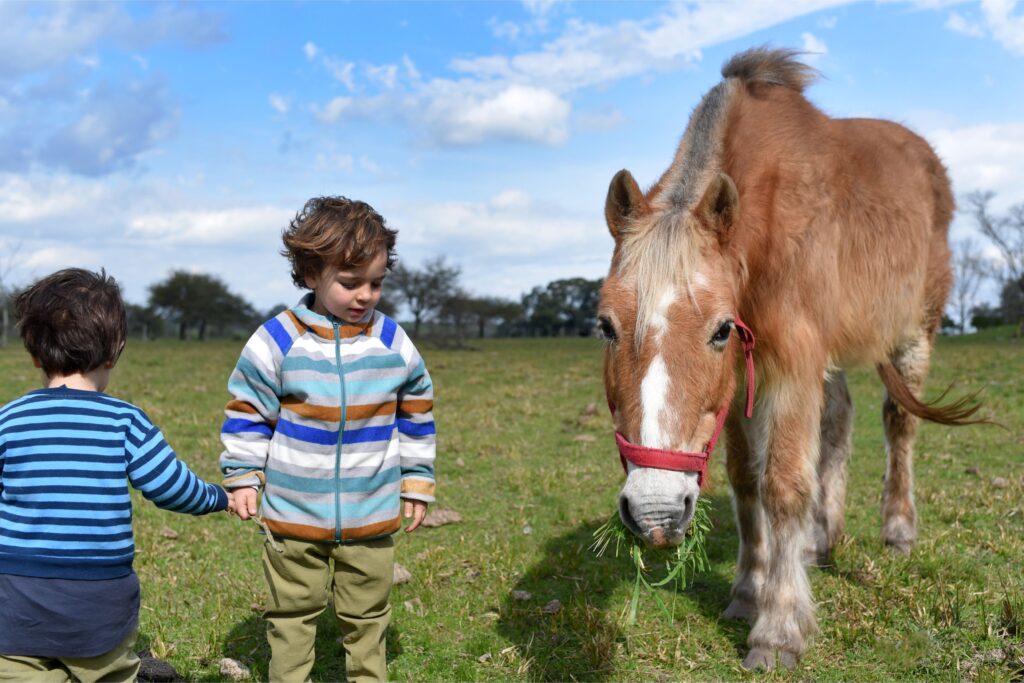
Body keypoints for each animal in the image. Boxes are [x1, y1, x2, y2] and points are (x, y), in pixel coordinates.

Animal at [598, 49, 978, 671]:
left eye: (721, 330)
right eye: (605, 325)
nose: (655, 512)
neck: (765, 223)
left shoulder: (793, 365)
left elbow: (782, 485)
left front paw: (778, 629)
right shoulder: (743, 383)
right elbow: (746, 481)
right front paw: (747, 592)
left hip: (914, 333)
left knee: (898, 425)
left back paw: (898, 530)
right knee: (840, 419)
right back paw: (821, 539)